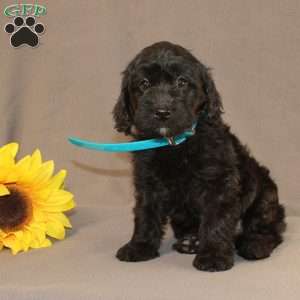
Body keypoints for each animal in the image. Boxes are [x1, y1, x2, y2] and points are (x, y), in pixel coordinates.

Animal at [112, 41, 286, 270]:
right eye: (144, 84)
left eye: (182, 82)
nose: (162, 111)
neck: (174, 143)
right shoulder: (148, 183)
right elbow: (145, 214)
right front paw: (139, 246)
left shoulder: (218, 182)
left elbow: (216, 217)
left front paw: (213, 255)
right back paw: (191, 242)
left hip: (264, 197)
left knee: (270, 229)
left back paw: (254, 244)